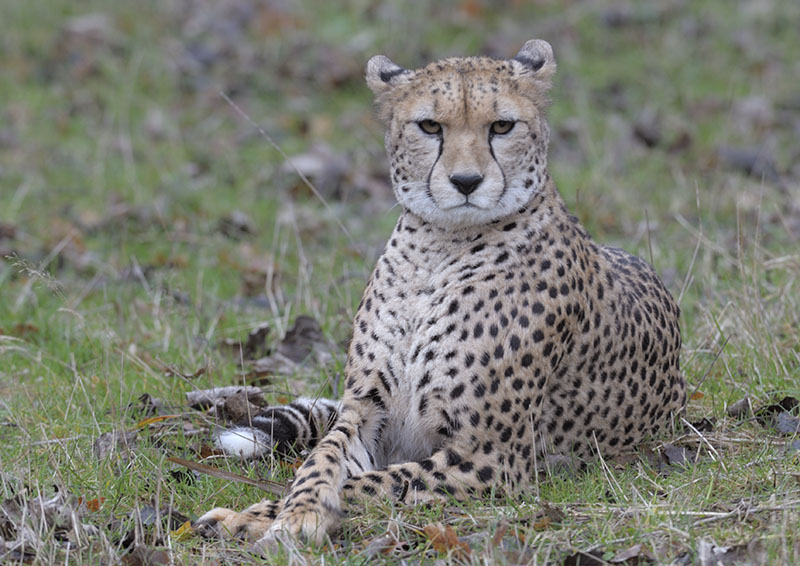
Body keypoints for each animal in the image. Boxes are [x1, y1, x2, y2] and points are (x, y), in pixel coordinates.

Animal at [194, 39, 686, 552]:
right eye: (430, 126)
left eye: (502, 126)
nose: (466, 182)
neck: (439, 247)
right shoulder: (366, 410)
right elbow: (321, 460)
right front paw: (294, 509)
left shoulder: (489, 455)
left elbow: (375, 482)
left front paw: (270, 518)